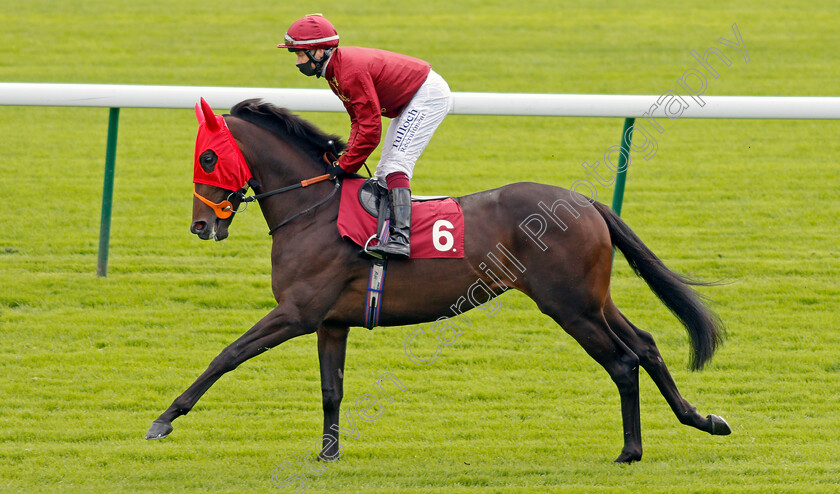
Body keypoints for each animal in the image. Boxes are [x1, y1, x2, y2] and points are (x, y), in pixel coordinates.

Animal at [146, 97, 728, 464]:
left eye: (207, 156)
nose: (200, 226)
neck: (312, 211)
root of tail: (584, 201)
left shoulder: (297, 312)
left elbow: (227, 355)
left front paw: (165, 418)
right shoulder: (331, 322)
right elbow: (332, 389)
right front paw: (328, 453)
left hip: (570, 306)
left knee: (624, 362)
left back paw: (631, 450)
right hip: (592, 300)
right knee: (647, 346)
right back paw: (702, 419)